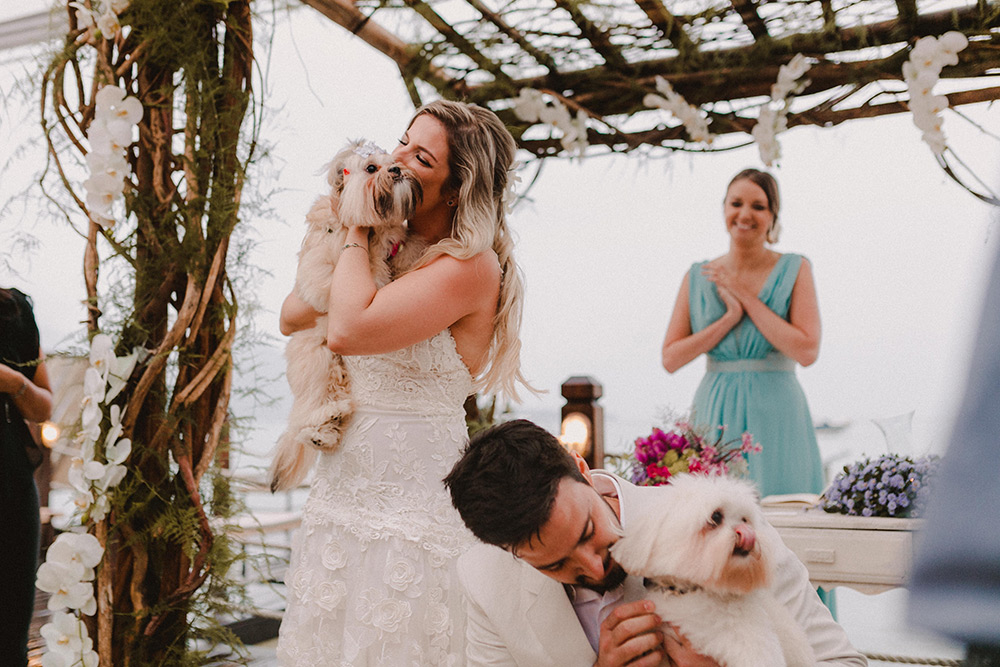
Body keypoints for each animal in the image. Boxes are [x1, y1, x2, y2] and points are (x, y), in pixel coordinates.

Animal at [268, 140, 424, 490]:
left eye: (393, 161)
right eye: (372, 168)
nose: (397, 170)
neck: (373, 230)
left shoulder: (396, 241)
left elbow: (404, 247)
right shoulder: (322, 269)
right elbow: (364, 268)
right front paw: (377, 273)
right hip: (318, 360)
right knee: (310, 411)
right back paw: (320, 429)